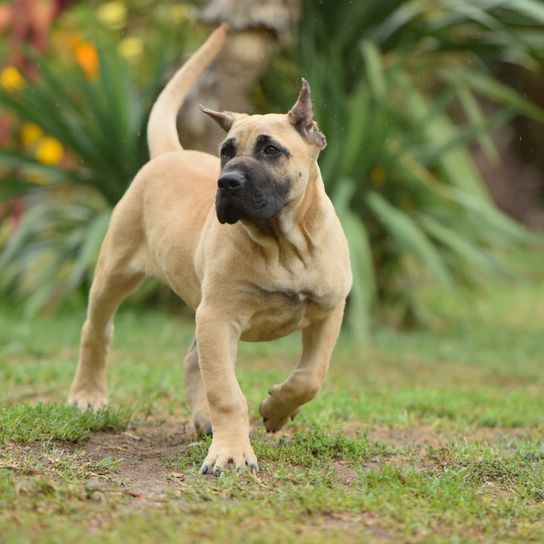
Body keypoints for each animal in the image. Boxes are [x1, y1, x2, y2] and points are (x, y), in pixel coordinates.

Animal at [68, 25, 352, 474]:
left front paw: (276, 408)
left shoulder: (327, 310)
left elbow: (311, 375)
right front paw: (232, 451)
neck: (282, 244)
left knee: (191, 359)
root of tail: (171, 153)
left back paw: (203, 418)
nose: (227, 182)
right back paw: (88, 395)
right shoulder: (219, 317)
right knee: (96, 330)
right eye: (225, 152)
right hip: (116, 271)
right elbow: (227, 392)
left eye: (271, 150)